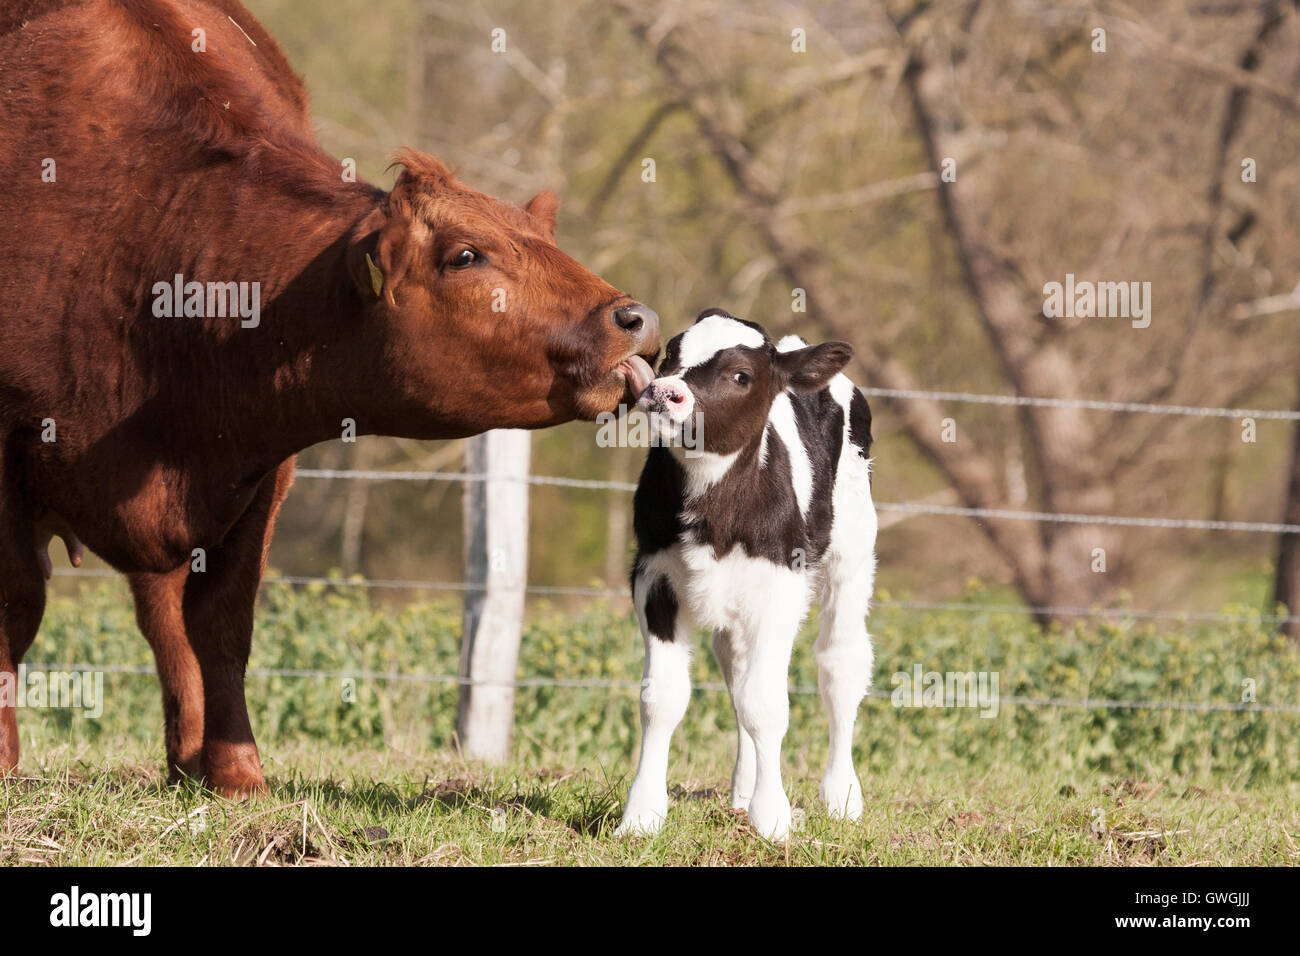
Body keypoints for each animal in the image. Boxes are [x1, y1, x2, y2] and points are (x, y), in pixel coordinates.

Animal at [0, 0, 660, 796]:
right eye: (467, 255)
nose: (635, 317)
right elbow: (16, 606)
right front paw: (2, 759)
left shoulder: (259, 466)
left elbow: (221, 621)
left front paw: (236, 772)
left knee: (165, 616)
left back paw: (186, 761)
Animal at [615, 309, 875, 840]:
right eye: (669, 354)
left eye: (741, 375)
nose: (663, 392)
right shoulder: (653, 578)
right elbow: (662, 700)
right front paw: (642, 815)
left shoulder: (779, 586)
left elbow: (766, 704)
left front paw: (772, 817)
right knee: (735, 667)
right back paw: (742, 789)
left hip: (854, 549)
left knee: (840, 662)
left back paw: (842, 796)